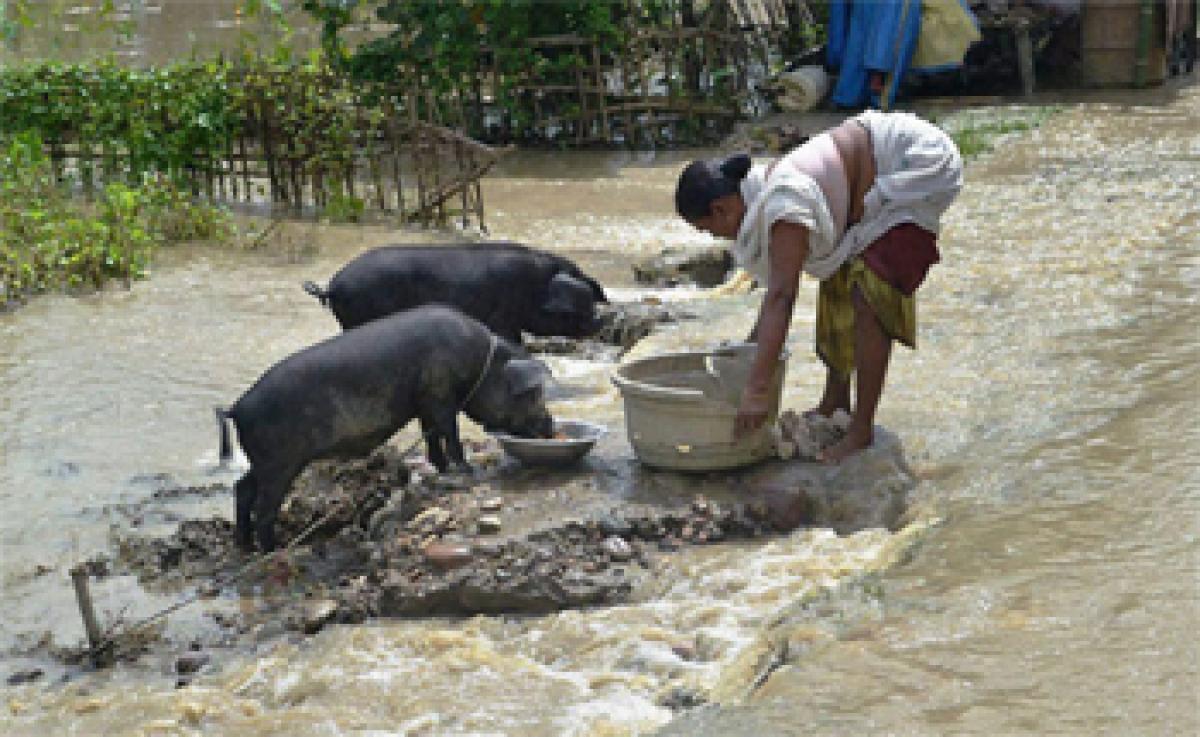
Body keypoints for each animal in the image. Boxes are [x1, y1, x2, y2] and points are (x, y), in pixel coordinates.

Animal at [217, 303, 552, 552]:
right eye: (533, 393)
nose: (550, 426)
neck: (479, 363)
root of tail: (238, 408)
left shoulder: (424, 402)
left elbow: (432, 437)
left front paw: (442, 469)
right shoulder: (439, 393)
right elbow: (450, 432)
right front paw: (467, 471)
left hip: (264, 461)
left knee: (243, 488)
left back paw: (246, 547)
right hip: (278, 462)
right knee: (263, 509)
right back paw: (274, 551)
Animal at [302, 243, 609, 345]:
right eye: (581, 309)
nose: (599, 322)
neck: (535, 287)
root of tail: (332, 286)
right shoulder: (503, 318)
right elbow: (515, 342)